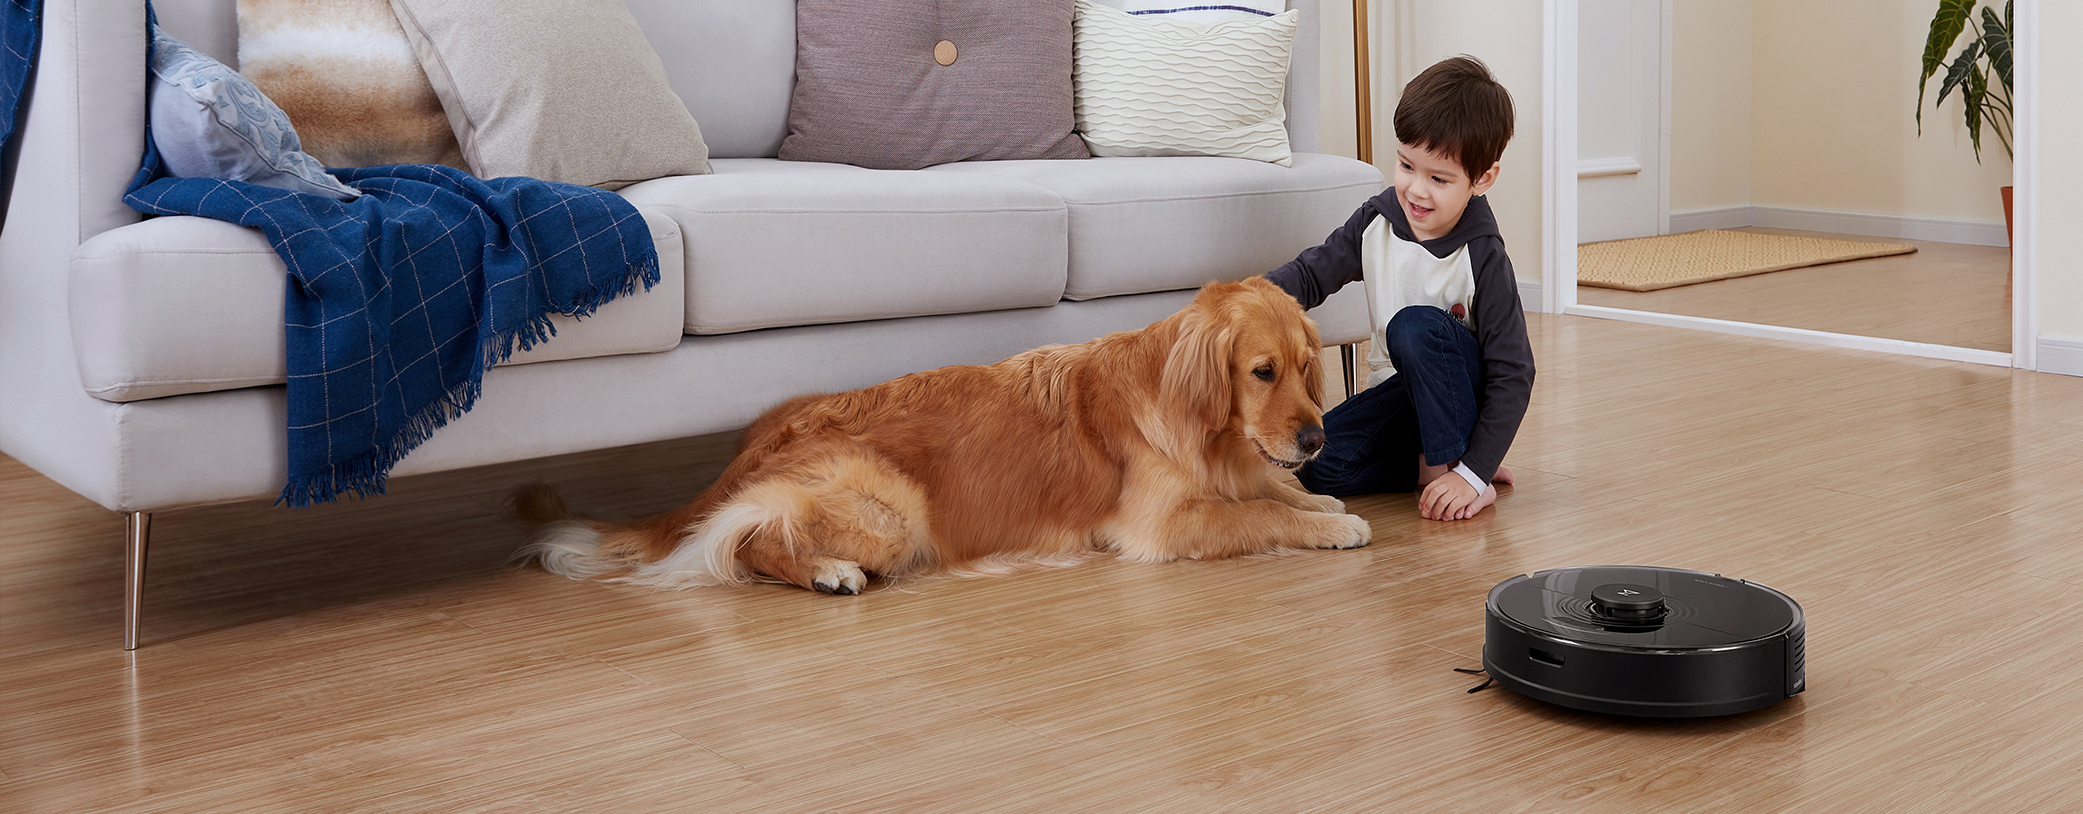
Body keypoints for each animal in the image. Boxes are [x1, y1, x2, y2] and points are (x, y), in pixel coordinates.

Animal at [514, 276, 1372, 594]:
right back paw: (827, 572)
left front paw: (1322, 500)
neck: (1200, 426)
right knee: (746, 541)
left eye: (1306, 367)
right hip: (889, 512)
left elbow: (1273, 487)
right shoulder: (1158, 525)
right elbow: (1258, 512)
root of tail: (754, 447)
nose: (1315, 439)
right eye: (1260, 372)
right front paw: (1332, 523)